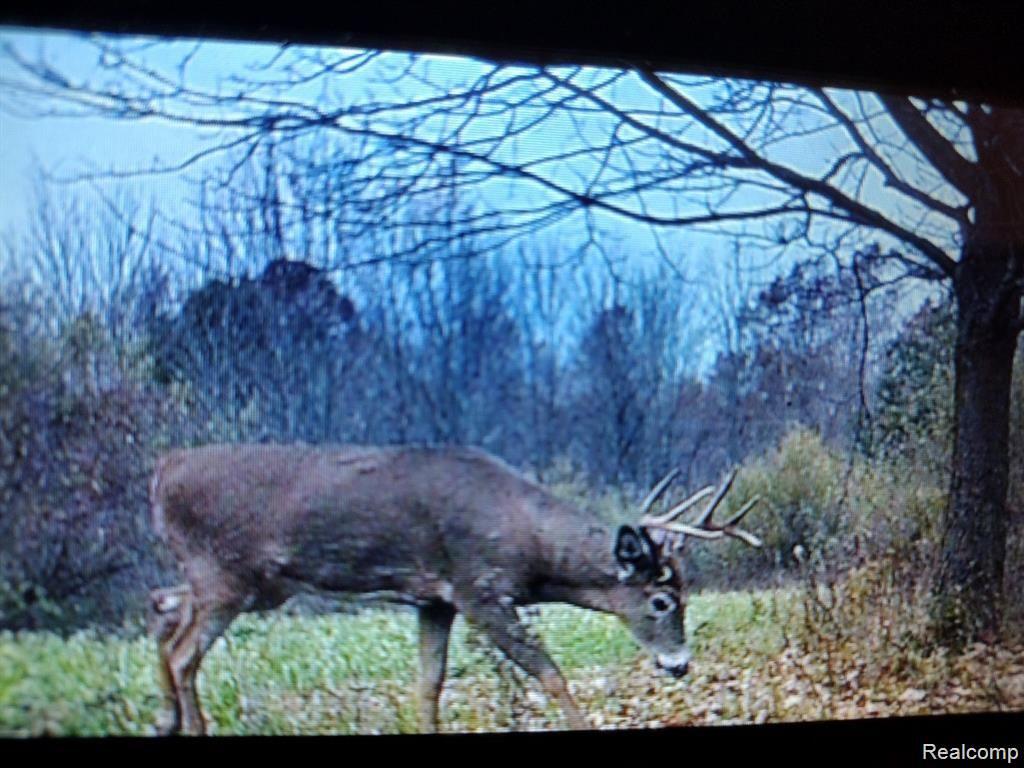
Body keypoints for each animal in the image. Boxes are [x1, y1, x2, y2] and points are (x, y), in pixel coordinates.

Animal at [147, 443, 762, 735]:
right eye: (662, 600)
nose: (680, 664)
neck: (525, 542)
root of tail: (161, 470)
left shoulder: (433, 599)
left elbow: (429, 685)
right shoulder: (478, 589)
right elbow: (550, 673)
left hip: (248, 583)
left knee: (163, 611)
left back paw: (166, 721)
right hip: (225, 574)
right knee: (183, 653)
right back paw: (191, 727)